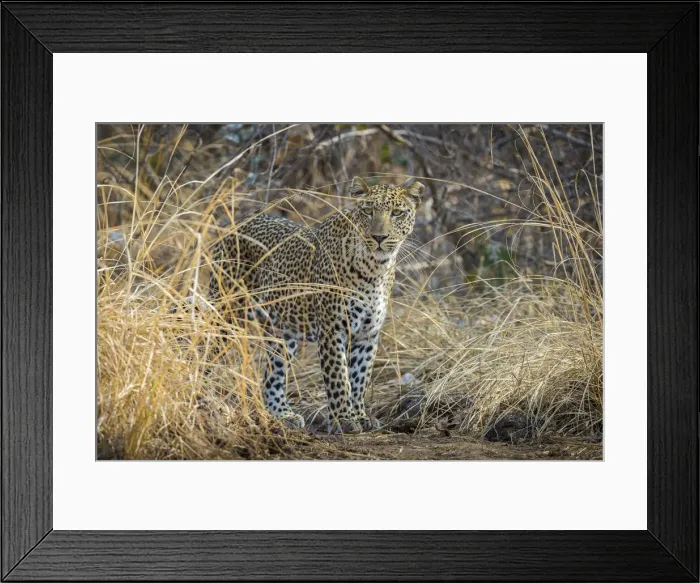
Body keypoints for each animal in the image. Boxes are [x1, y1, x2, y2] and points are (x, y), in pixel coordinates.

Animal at [208, 177, 425, 434]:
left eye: (397, 213)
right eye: (368, 211)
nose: (379, 237)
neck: (375, 269)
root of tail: (235, 225)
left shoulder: (368, 334)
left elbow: (360, 378)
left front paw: (360, 416)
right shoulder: (332, 329)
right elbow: (339, 377)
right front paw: (343, 420)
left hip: (282, 332)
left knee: (273, 375)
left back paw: (283, 415)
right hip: (224, 313)